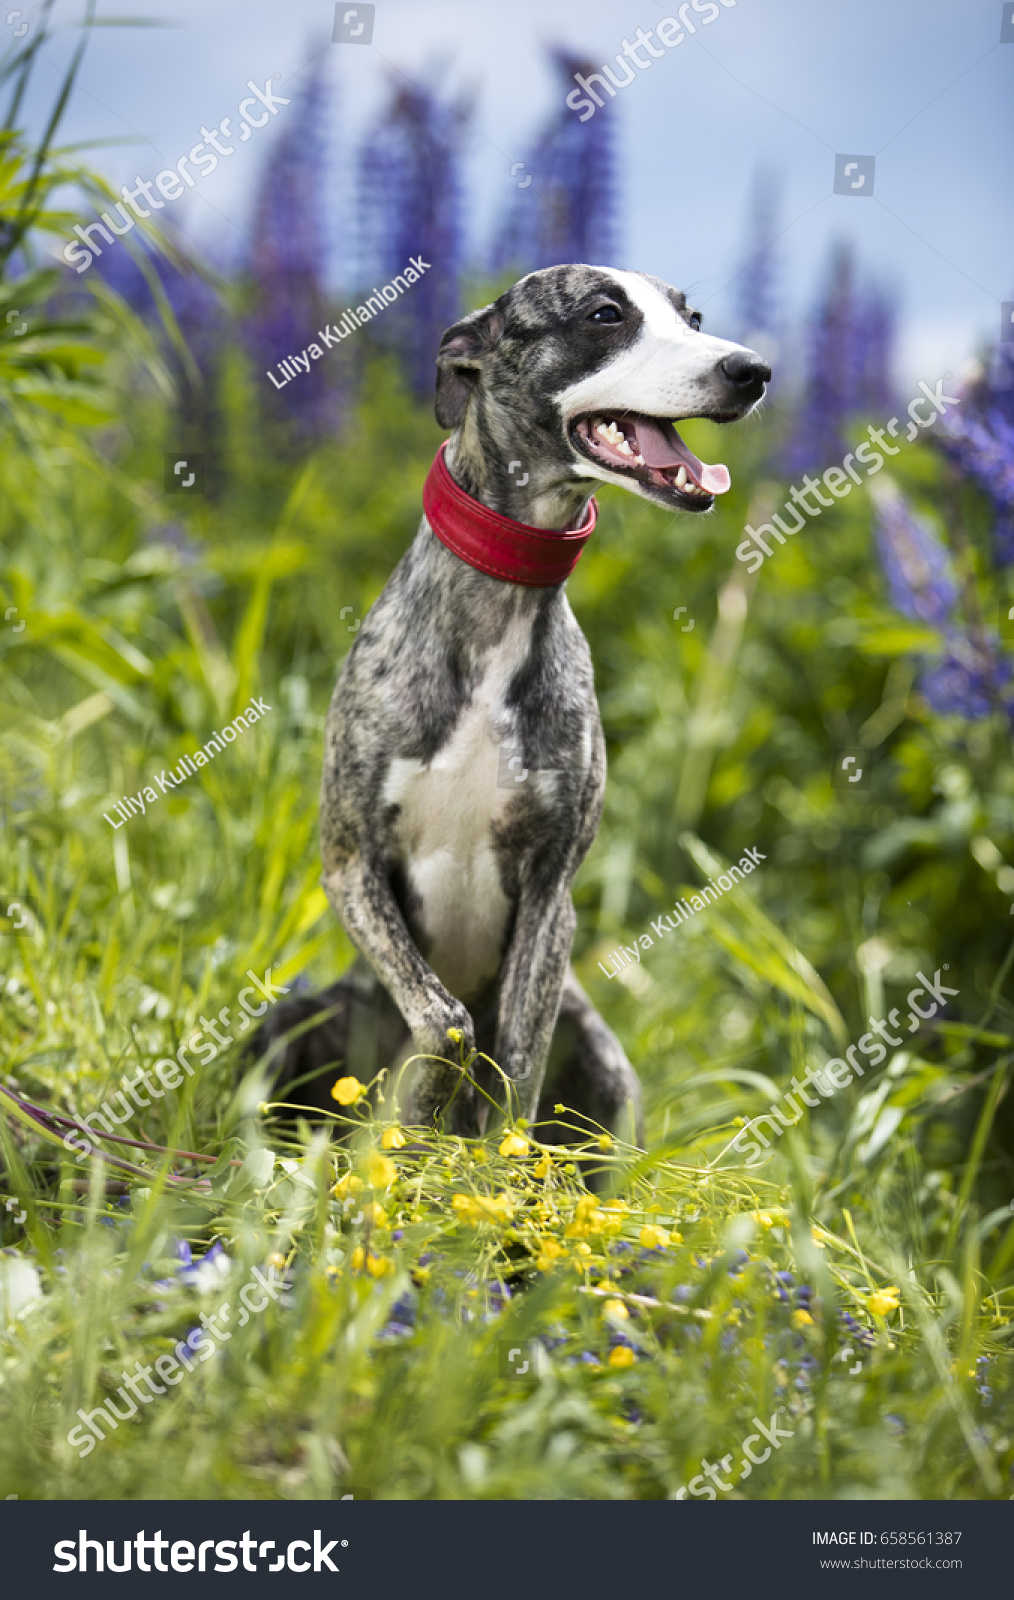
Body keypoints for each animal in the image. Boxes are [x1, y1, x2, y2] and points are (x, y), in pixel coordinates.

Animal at [254, 265, 764, 1139]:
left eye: (694, 316)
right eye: (605, 313)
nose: (752, 371)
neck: (500, 610)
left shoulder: (550, 891)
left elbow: (514, 1064)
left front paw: (473, 1159)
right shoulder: (352, 865)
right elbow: (447, 1021)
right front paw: (419, 1118)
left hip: (602, 1055)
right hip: (296, 1019)